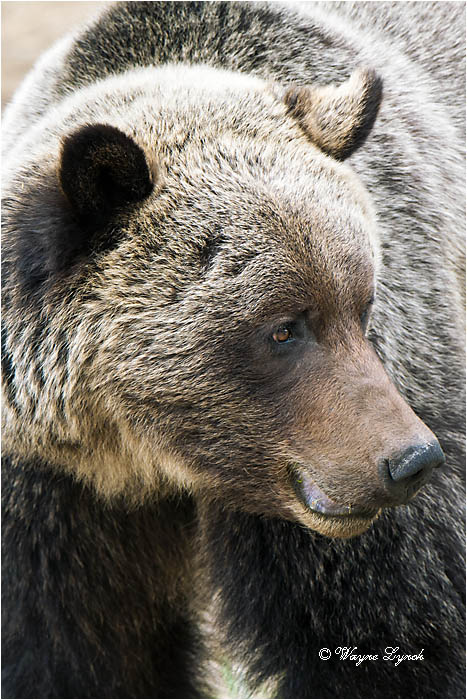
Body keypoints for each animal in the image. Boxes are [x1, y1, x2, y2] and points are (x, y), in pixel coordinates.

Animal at [1, 1, 465, 698]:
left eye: (362, 304)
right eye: (283, 328)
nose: (410, 460)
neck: (147, 458)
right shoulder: (51, 496)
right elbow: (80, 656)